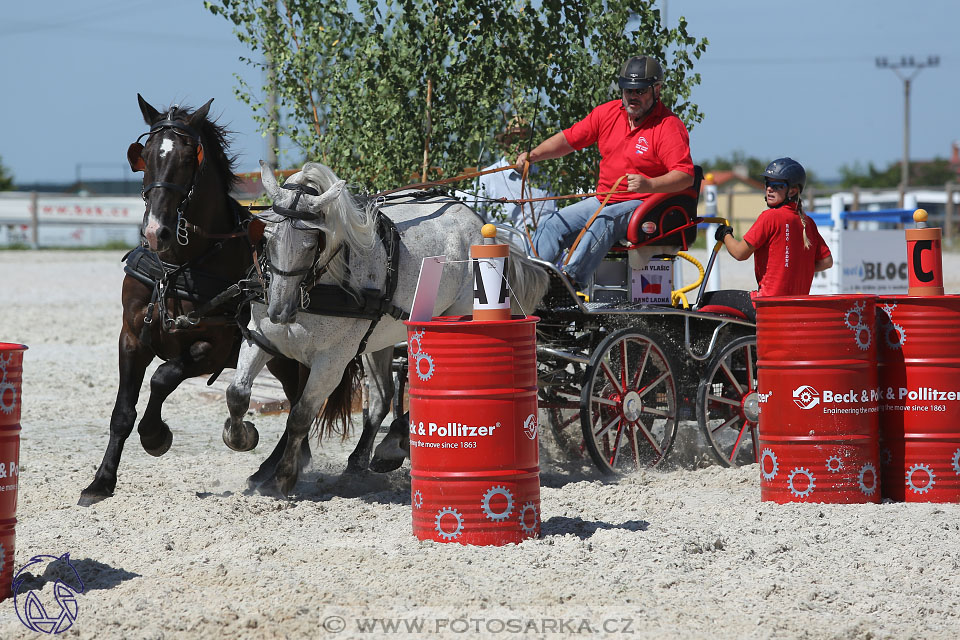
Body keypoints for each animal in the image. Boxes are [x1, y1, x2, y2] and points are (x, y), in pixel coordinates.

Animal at [219, 161, 548, 496]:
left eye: (313, 243)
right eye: (266, 237)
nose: (279, 312)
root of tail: (478, 221)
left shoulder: (331, 362)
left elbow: (300, 416)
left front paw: (282, 478)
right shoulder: (260, 338)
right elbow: (237, 394)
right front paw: (243, 437)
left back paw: (392, 443)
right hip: (379, 338)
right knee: (381, 399)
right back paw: (358, 464)